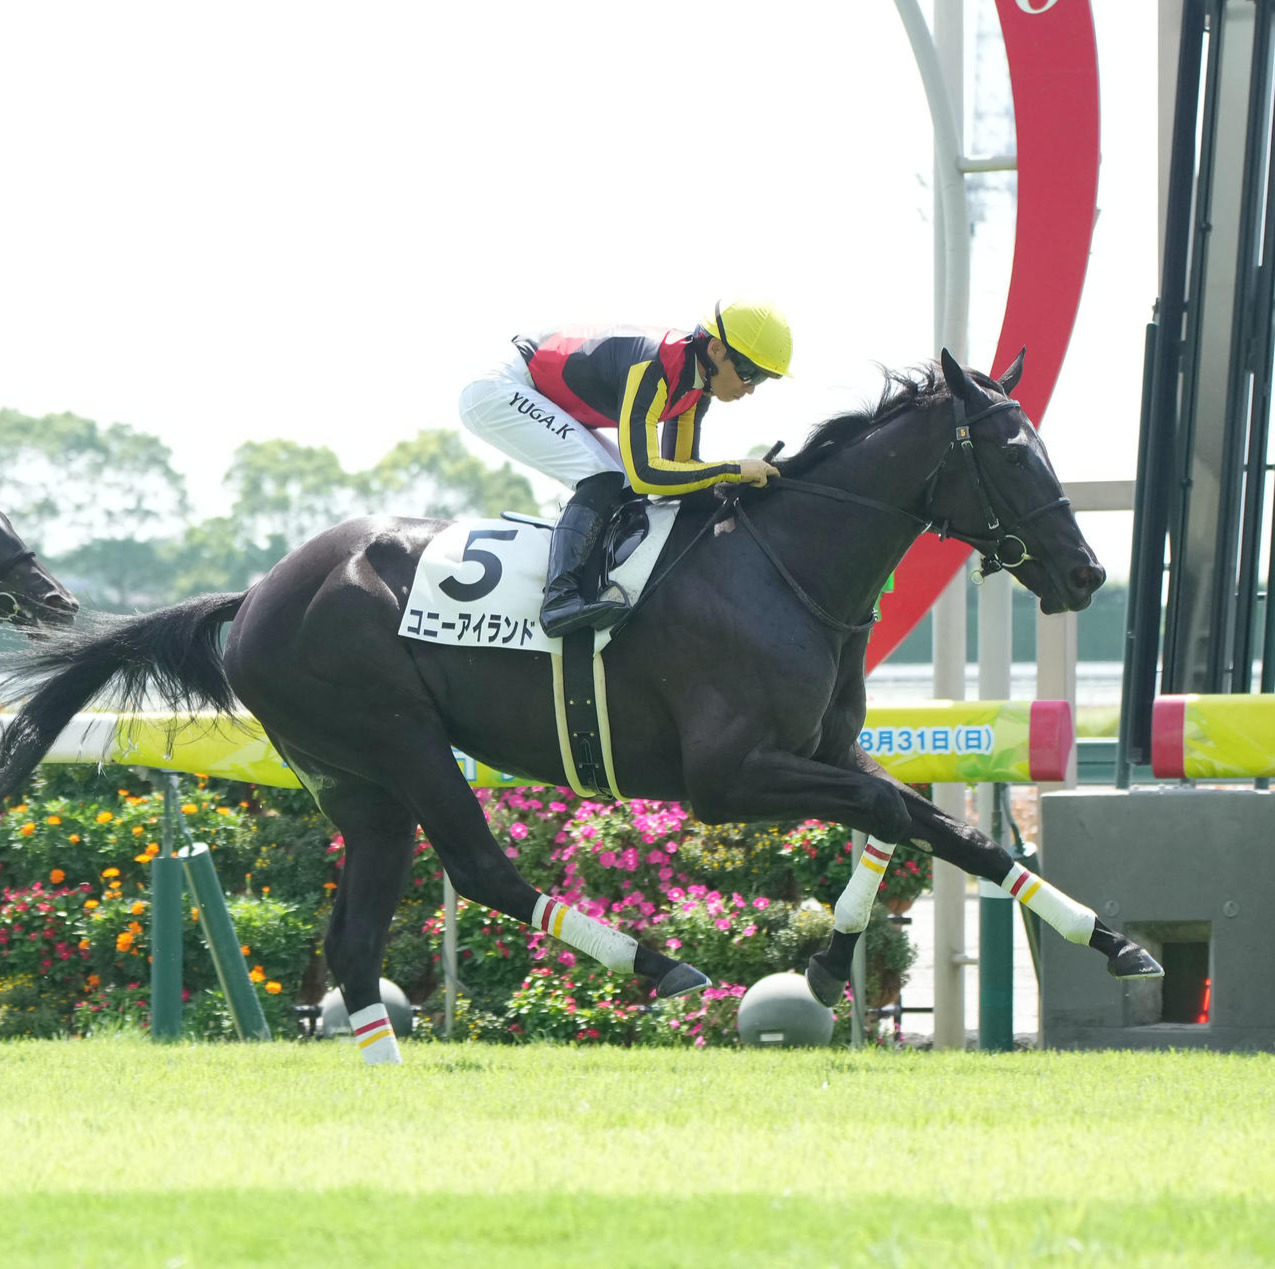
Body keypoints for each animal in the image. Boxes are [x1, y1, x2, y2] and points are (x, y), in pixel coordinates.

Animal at [0, 350, 1162, 1062]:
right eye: (1009, 449)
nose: (1085, 572)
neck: (785, 566)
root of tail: (252, 597)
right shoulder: (727, 778)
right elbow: (891, 816)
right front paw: (826, 965)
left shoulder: (825, 749)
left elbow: (942, 829)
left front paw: (1116, 943)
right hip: (400, 740)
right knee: (478, 869)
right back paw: (658, 962)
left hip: (357, 783)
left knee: (356, 937)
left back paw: (386, 1069)